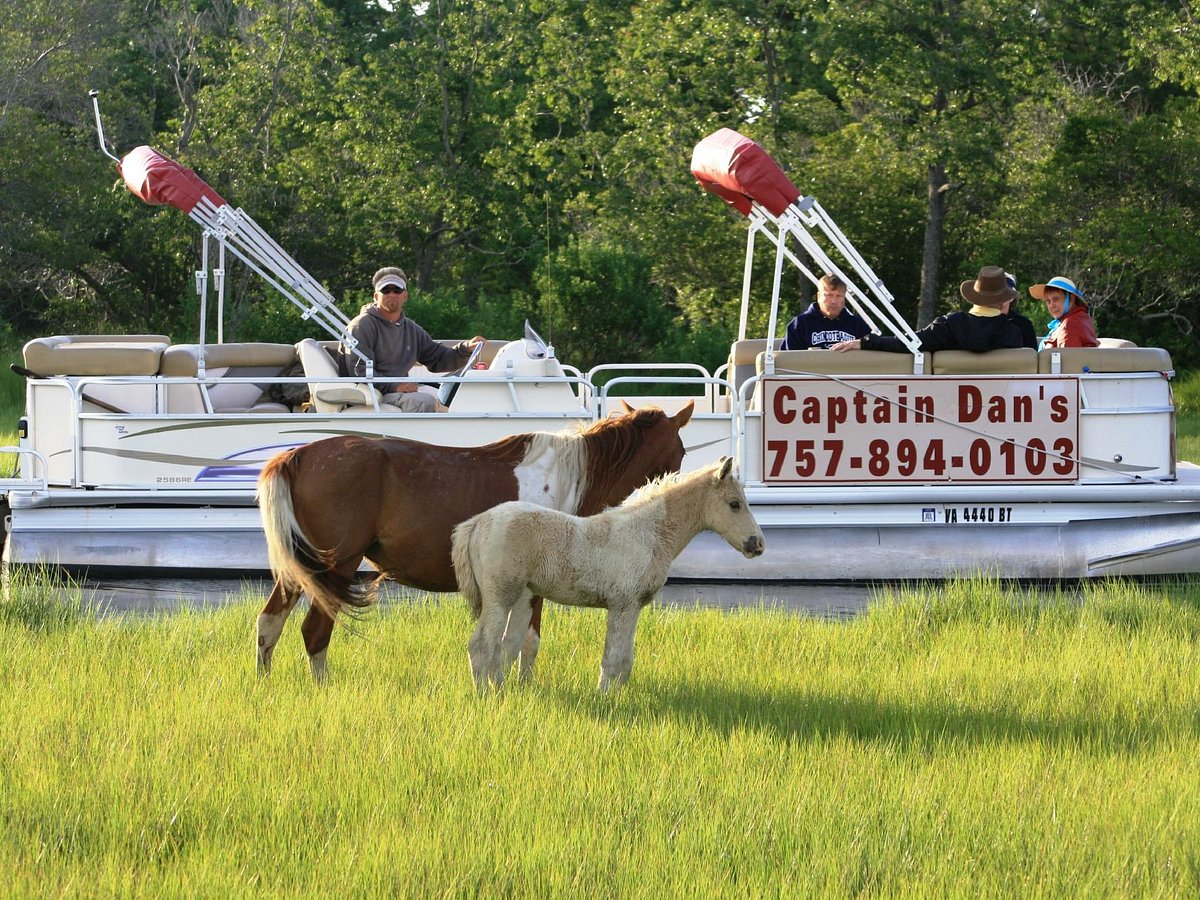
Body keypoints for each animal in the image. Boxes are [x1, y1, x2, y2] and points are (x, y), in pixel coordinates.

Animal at [259, 405, 696, 681]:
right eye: (681, 450)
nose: (676, 486)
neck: (568, 477)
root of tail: (296, 457)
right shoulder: (531, 588)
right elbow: (524, 641)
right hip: (334, 569)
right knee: (315, 632)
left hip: (300, 570)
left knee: (269, 624)